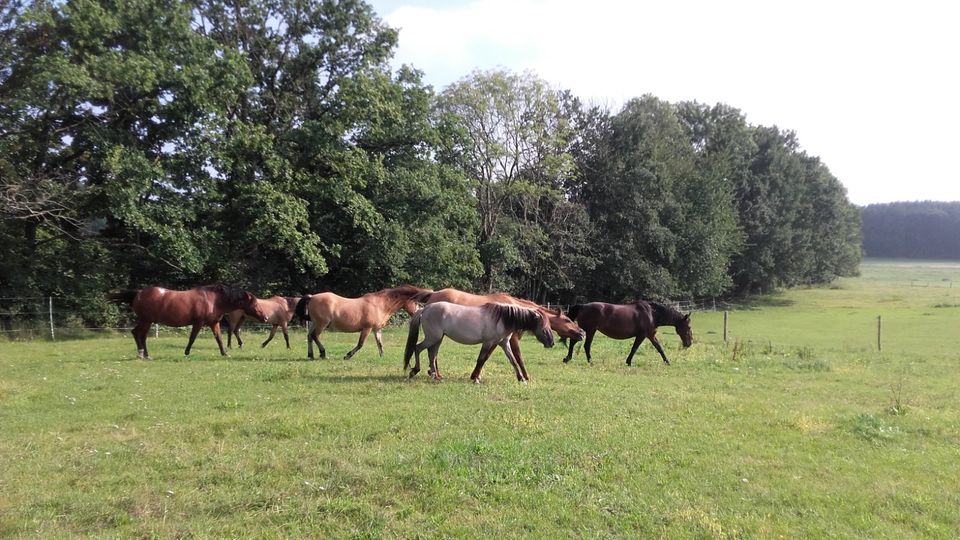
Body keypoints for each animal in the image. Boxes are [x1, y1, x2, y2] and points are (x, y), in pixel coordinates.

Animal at [290, 284, 430, 360]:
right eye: (416, 302)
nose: (419, 313)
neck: (380, 304)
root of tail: (312, 297)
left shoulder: (376, 329)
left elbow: (380, 344)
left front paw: (382, 357)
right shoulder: (367, 329)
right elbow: (360, 344)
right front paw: (347, 355)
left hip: (315, 323)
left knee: (309, 336)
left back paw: (311, 355)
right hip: (321, 324)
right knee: (315, 336)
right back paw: (323, 353)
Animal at [404, 300, 556, 384]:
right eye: (544, 327)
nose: (552, 343)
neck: (502, 319)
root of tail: (425, 308)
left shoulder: (503, 343)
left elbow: (513, 360)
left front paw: (521, 379)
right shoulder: (488, 342)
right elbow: (481, 359)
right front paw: (475, 378)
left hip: (438, 339)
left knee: (432, 354)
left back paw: (436, 376)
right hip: (432, 338)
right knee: (418, 348)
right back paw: (415, 371)